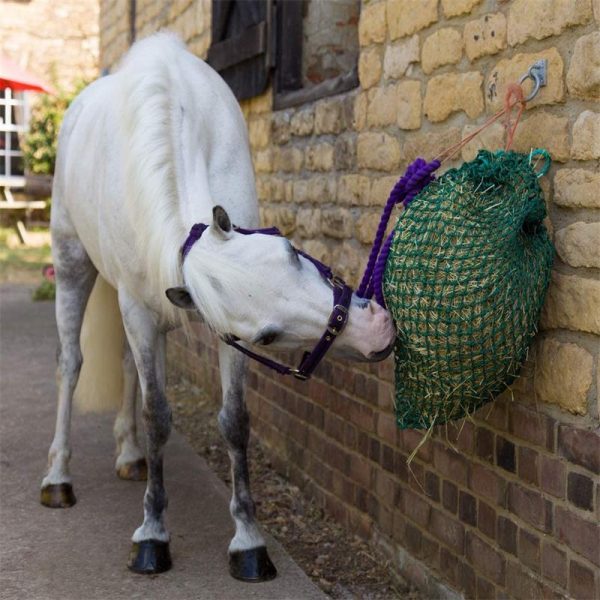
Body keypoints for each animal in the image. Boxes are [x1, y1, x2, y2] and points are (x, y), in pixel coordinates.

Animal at [43, 34, 398, 580]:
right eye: (268, 336)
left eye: (290, 251)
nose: (375, 329)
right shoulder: (141, 311)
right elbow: (158, 415)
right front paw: (152, 535)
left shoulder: (221, 334)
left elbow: (234, 420)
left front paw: (249, 542)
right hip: (72, 264)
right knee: (70, 363)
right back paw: (58, 478)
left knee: (122, 366)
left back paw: (129, 455)